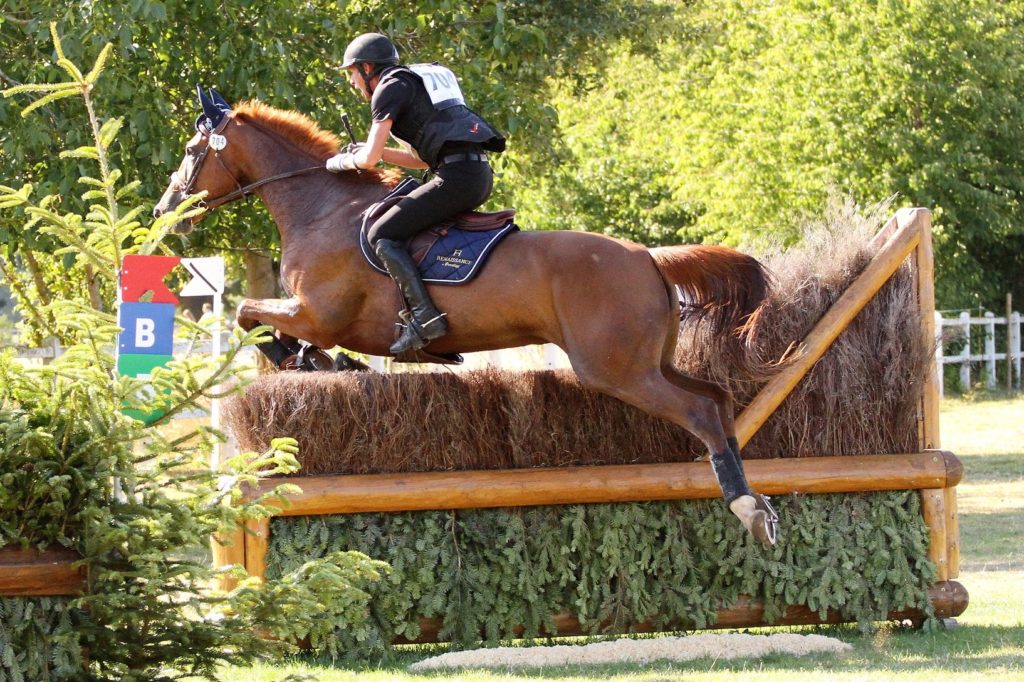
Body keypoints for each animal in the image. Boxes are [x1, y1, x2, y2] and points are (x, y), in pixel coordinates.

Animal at [151, 90, 774, 540]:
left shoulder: (316, 313)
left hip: (617, 370)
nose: (165, 210)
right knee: (717, 399)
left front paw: (304, 359)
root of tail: (647, 256)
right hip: (649, 362)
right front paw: (318, 363)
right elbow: (261, 321)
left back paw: (745, 506)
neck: (321, 207)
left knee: (699, 410)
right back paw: (758, 505)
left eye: (191, 151)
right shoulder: (315, 316)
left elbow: (249, 315)